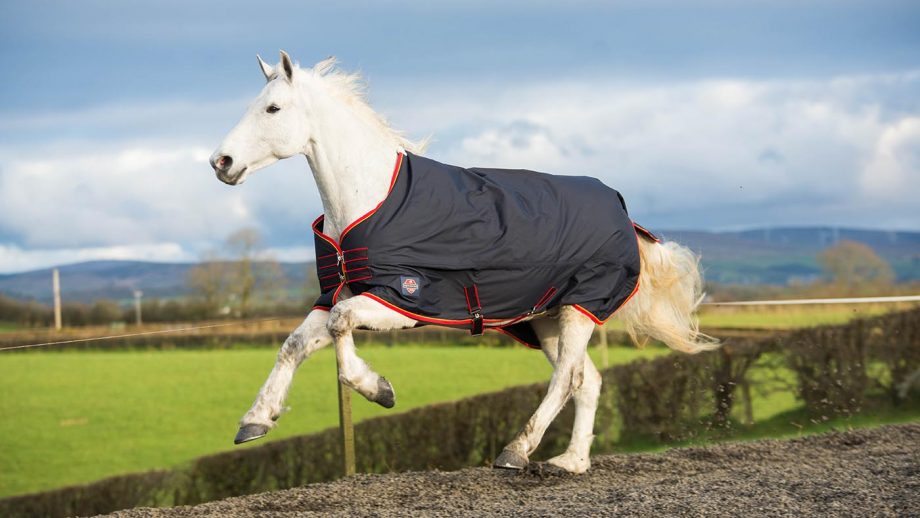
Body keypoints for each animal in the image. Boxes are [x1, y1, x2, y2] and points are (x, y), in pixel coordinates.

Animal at [210, 51, 719, 474]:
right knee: (585, 380)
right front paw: (256, 420)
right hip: (545, 318)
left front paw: (379, 389)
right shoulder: (344, 291)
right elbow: (294, 344)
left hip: (582, 307)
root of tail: (622, 212)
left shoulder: (403, 299)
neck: (372, 199)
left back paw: (516, 452)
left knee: (566, 380)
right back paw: (570, 462)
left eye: (273, 109)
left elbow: (341, 323)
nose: (221, 162)